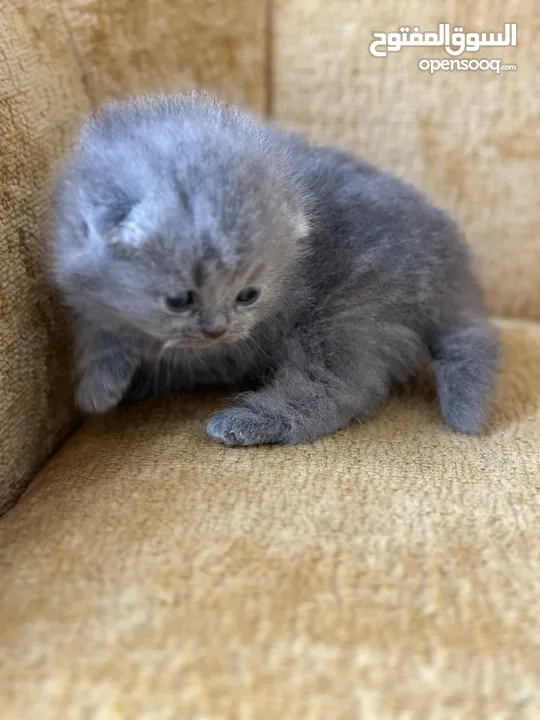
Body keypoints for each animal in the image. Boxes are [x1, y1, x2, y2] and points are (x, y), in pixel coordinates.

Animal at [49, 90, 498, 444]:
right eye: (179, 300)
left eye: (248, 295)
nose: (216, 329)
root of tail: (453, 274)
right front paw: (104, 381)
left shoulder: (224, 350)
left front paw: (101, 388)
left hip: (348, 315)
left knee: (339, 389)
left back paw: (248, 421)